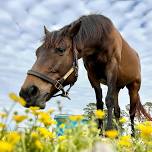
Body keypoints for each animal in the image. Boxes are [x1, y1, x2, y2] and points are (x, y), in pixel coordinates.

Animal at [19, 14, 152, 135]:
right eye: (37, 52)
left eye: (61, 49)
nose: (27, 92)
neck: (102, 38)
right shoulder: (92, 76)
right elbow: (99, 104)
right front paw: (100, 134)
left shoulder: (111, 68)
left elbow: (108, 100)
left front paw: (109, 132)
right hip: (117, 87)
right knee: (117, 111)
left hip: (133, 87)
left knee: (132, 113)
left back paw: (133, 138)